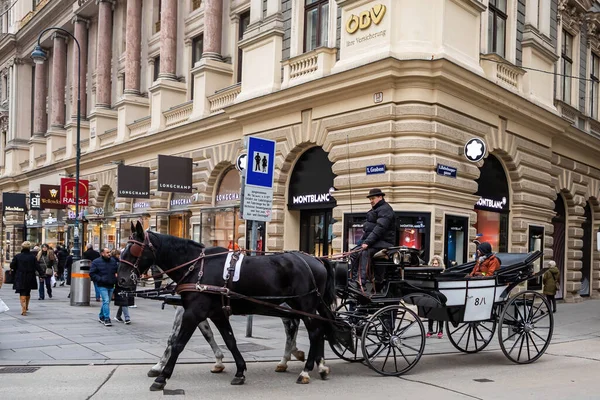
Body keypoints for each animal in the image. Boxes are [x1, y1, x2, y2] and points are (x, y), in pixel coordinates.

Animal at [119, 220, 340, 390]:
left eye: (133, 250)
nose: (121, 280)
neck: (196, 267)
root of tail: (316, 259)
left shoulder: (193, 312)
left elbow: (178, 343)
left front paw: (162, 377)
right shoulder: (216, 313)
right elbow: (229, 340)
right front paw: (239, 370)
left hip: (305, 306)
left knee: (314, 333)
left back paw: (306, 370)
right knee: (316, 329)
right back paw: (317, 365)